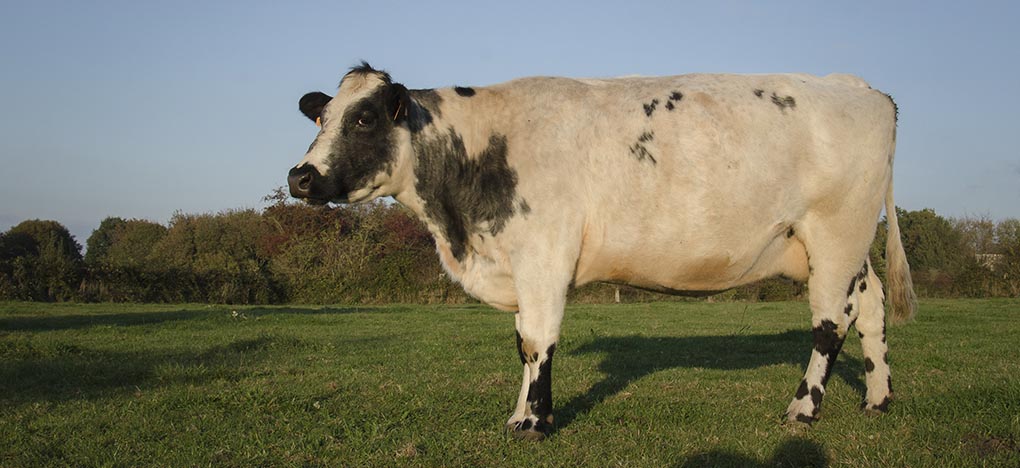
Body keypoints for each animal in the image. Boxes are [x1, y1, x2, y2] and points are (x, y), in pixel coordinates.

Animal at [287, 61, 918, 440]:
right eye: (322, 116)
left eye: (364, 118)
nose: (300, 177)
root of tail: (857, 86)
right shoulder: (519, 263)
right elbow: (522, 345)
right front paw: (518, 414)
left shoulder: (543, 253)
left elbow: (538, 341)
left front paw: (535, 423)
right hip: (847, 247)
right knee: (870, 309)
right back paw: (878, 398)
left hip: (836, 232)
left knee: (829, 325)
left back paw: (804, 410)